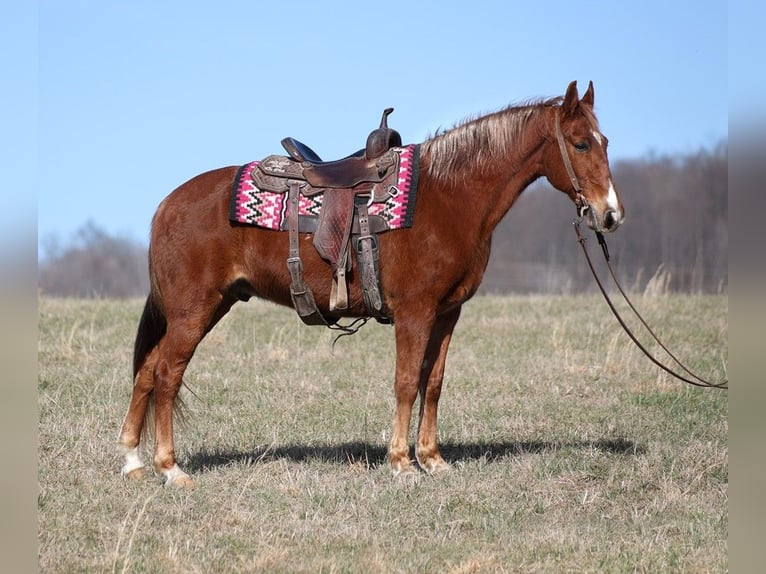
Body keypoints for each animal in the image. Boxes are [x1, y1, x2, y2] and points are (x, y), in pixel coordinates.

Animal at [118, 80, 624, 490]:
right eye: (580, 144)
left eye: (604, 141)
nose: (610, 215)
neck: (448, 196)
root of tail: (168, 204)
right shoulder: (415, 311)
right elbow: (406, 381)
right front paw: (401, 462)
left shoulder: (447, 312)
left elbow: (433, 382)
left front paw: (432, 459)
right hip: (194, 310)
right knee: (166, 375)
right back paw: (170, 468)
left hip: (207, 307)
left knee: (147, 372)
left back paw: (133, 461)